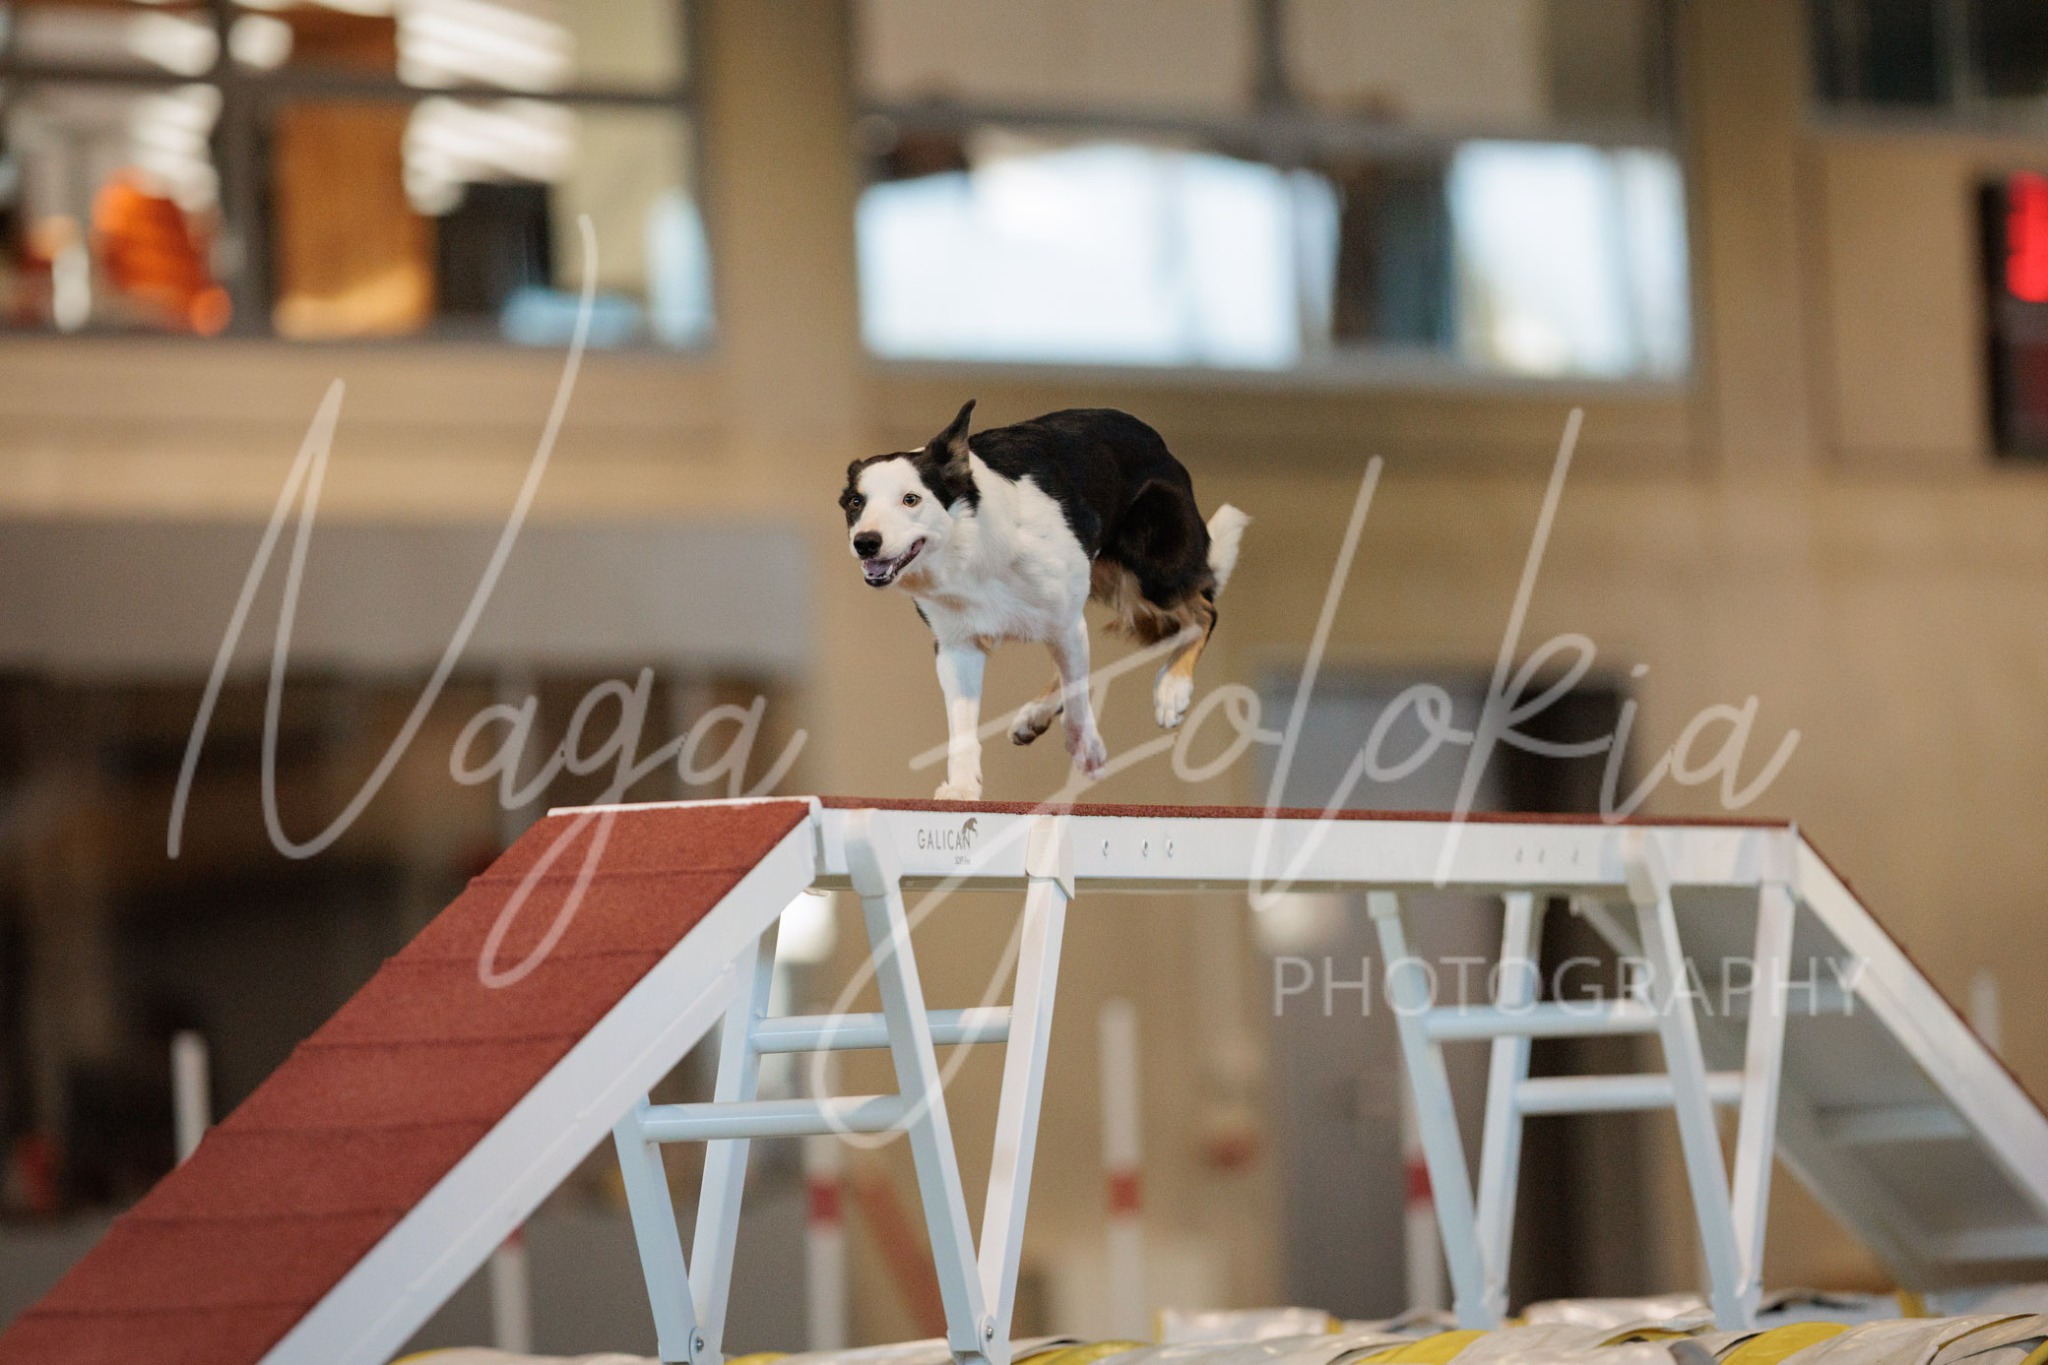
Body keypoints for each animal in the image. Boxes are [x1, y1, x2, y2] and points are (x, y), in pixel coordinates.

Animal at [840, 400, 1249, 800]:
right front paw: (962, 787)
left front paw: (1088, 750)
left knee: (1203, 611)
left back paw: (1172, 689)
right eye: (857, 503)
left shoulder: (1064, 619)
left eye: (911, 499)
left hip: (1152, 569)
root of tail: (1160, 444)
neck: (970, 546)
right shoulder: (958, 643)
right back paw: (1036, 713)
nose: (866, 542)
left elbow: (1078, 693)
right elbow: (962, 726)